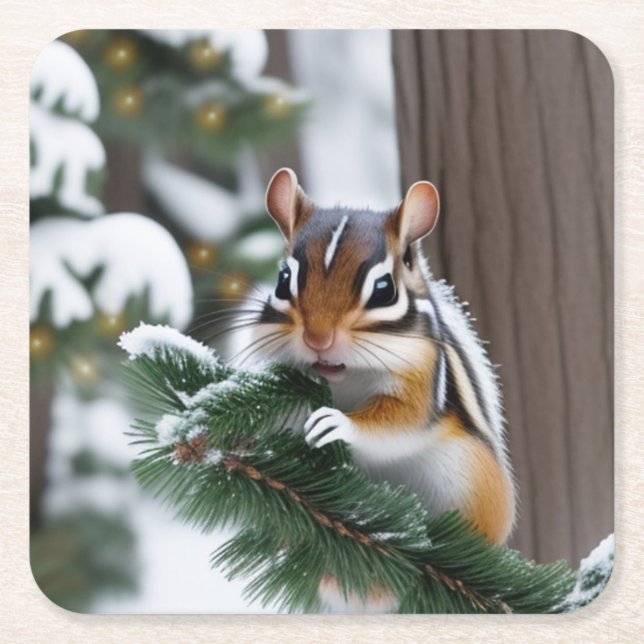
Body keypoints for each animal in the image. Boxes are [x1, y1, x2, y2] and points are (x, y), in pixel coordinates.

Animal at [247, 167, 516, 612]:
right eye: (284, 281)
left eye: (384, 289)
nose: (318, 337)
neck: (345, 378)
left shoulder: (422, 378)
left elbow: (399, 423)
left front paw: (336, 424)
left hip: (472, 480)